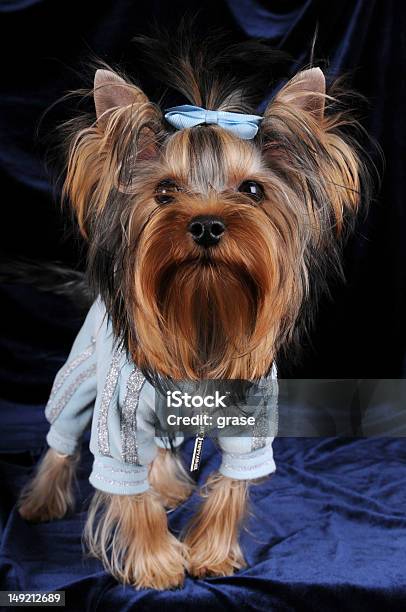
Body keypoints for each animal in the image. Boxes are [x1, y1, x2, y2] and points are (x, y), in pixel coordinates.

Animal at [17, 33, 370, 588]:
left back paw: (168, 486)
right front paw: (157, 564)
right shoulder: (117, 422)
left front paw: (211, 552)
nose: (205, 225)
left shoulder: (252, 422)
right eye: (165, 191)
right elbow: (128, 491)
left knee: (163, 443)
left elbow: (232, 485)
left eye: (252, 190)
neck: (202, 315)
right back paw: (40, 501)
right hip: (78, 377)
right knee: (61, 435)